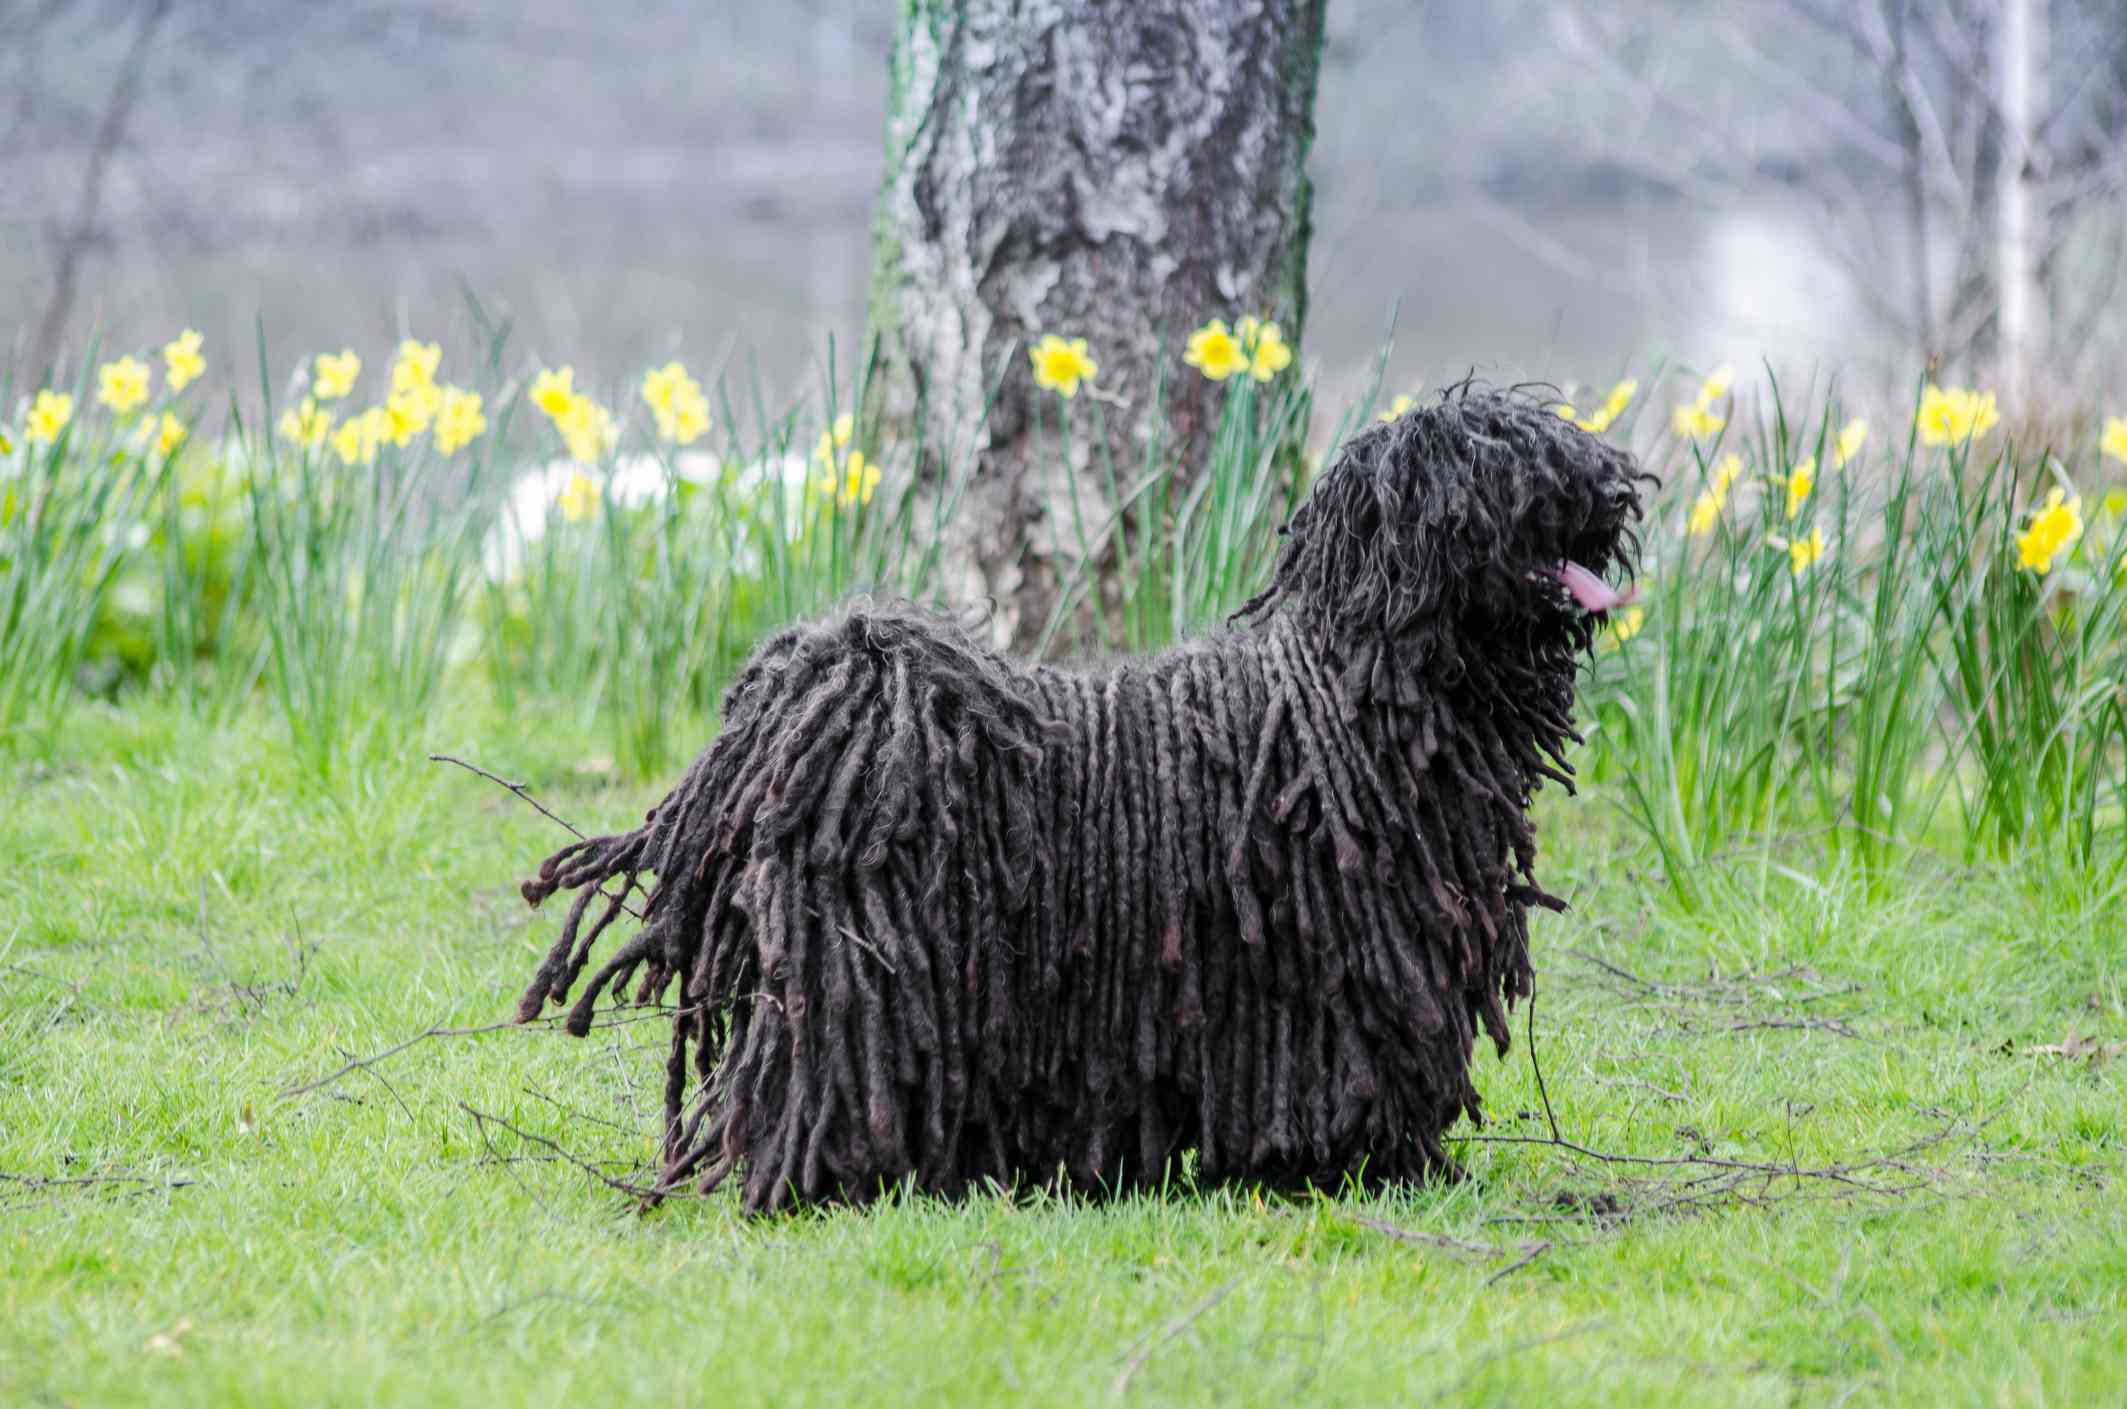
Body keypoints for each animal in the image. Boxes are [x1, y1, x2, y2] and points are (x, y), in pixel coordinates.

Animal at [510, 387, 1642, 1217]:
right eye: (1500, 461)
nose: (1605, 483)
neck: (1352, 690)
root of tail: (810, 695)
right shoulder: (1338, 968)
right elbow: (1354, 1068)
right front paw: (1366, 1164)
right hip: (858, 970)